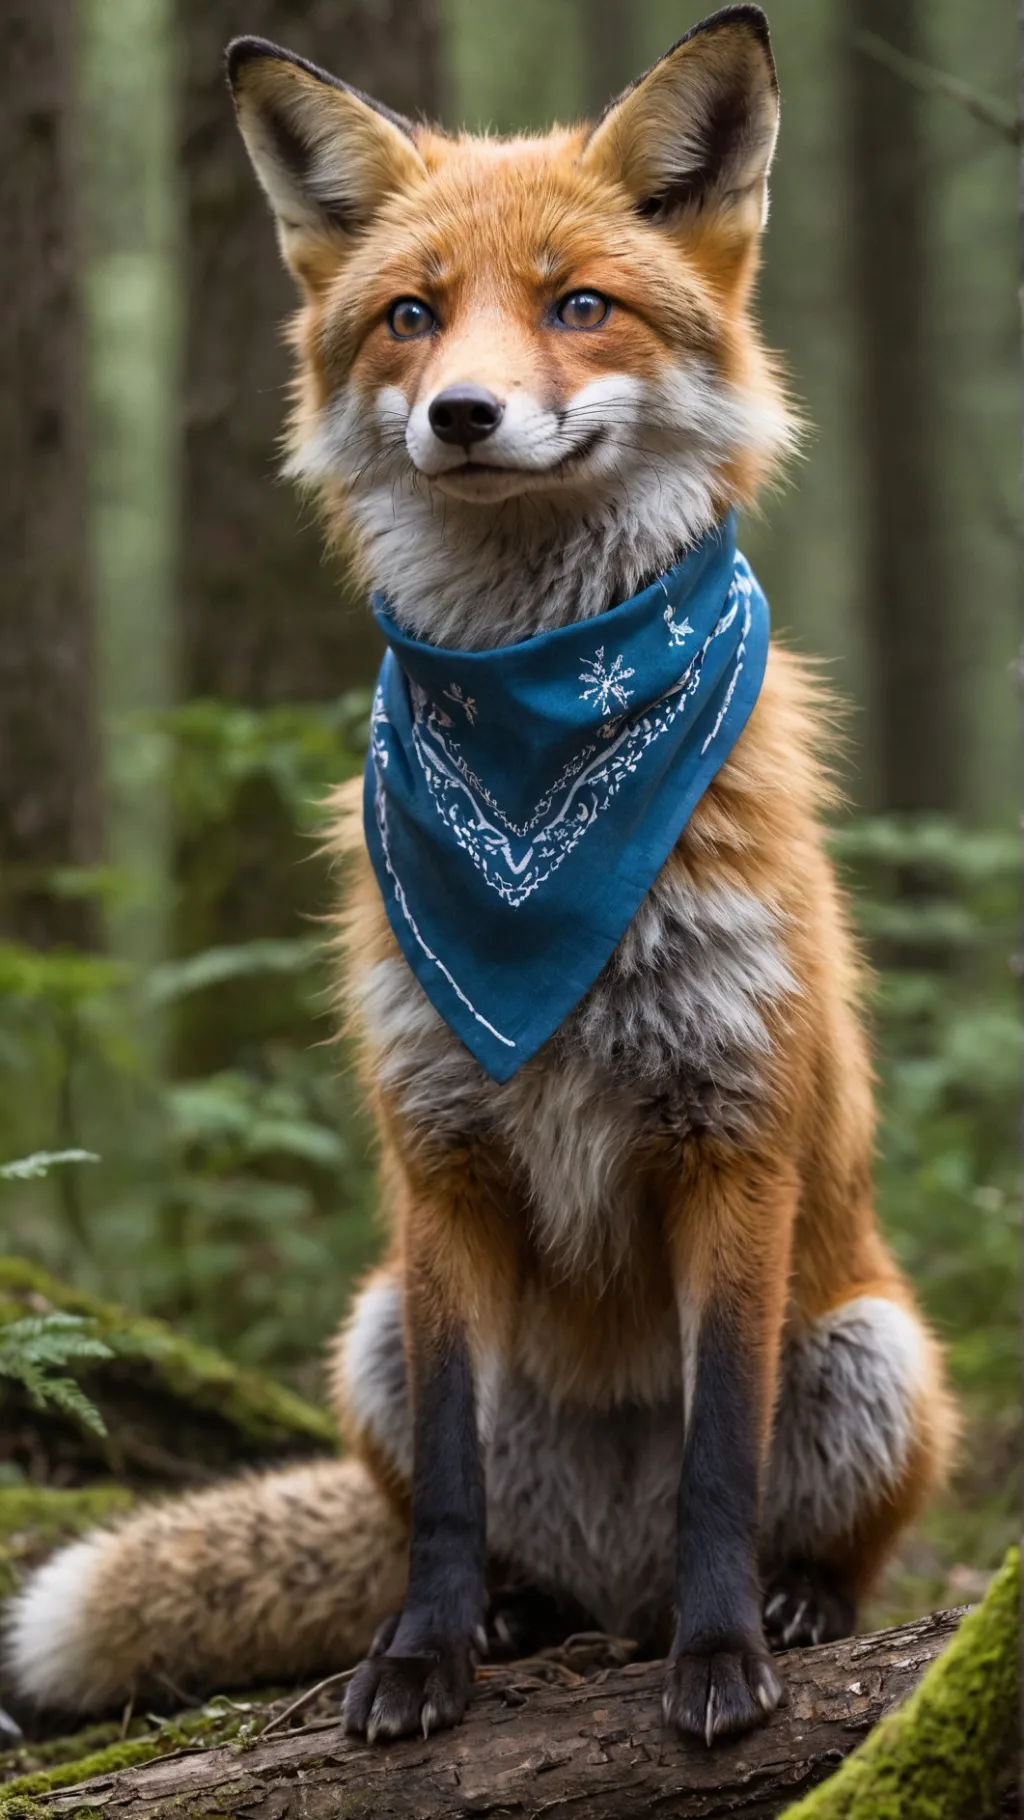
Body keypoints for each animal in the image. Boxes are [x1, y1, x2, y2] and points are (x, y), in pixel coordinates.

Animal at [6, 4, 956, 1749]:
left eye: (580, 306)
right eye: (411, 317)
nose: (462, 413)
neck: (539, 758)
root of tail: (609, 1578)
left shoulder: (731, 1136)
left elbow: (720, 1458)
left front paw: (723, 1661)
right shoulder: (437, 1152)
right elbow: (447, 1486)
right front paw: (421, 1662)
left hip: (875, 1350)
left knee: (806, 1527)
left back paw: (782, 1605)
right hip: (370, 1332)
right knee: (465, 1530)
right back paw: (515, 1616)